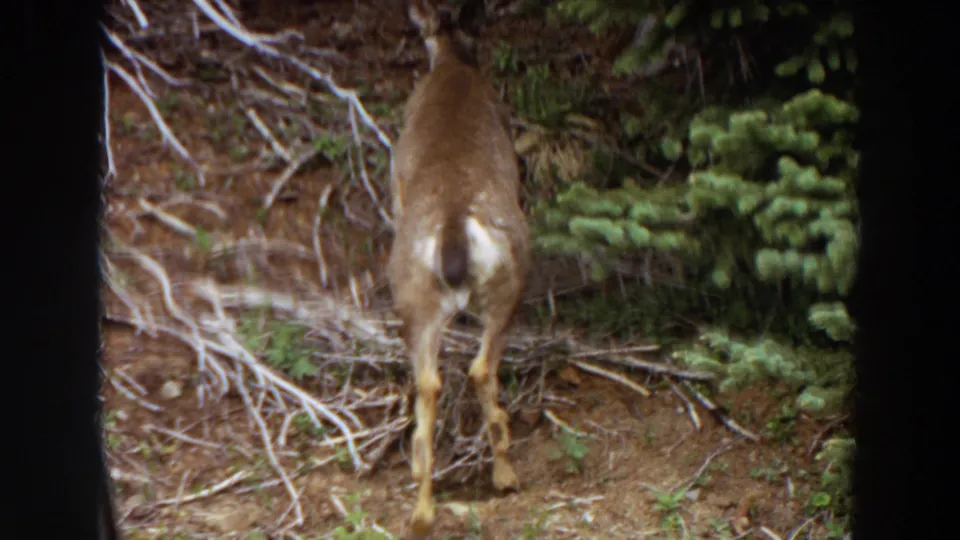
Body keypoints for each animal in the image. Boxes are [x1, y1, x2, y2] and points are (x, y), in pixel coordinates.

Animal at [386, 0, 531, 536]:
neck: (451, 63)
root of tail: (452, 229)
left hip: (428, 292)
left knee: (447, 376)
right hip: (492, 284)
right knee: (464, 370)